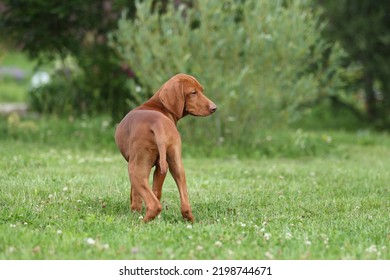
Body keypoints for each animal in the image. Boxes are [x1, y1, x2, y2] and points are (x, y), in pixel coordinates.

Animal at [116, 73, 216, 222]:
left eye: (200, 91)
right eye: (194, 92)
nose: (214, 108)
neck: (157, 106)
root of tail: (157, 123)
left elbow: (135, 195)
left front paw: (134, 213)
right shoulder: (161, 167)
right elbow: (155, 191)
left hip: (135, 169)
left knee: (154, 205)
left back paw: (140, 223)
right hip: (176, 163)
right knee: (183, 202)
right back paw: (190, 220)